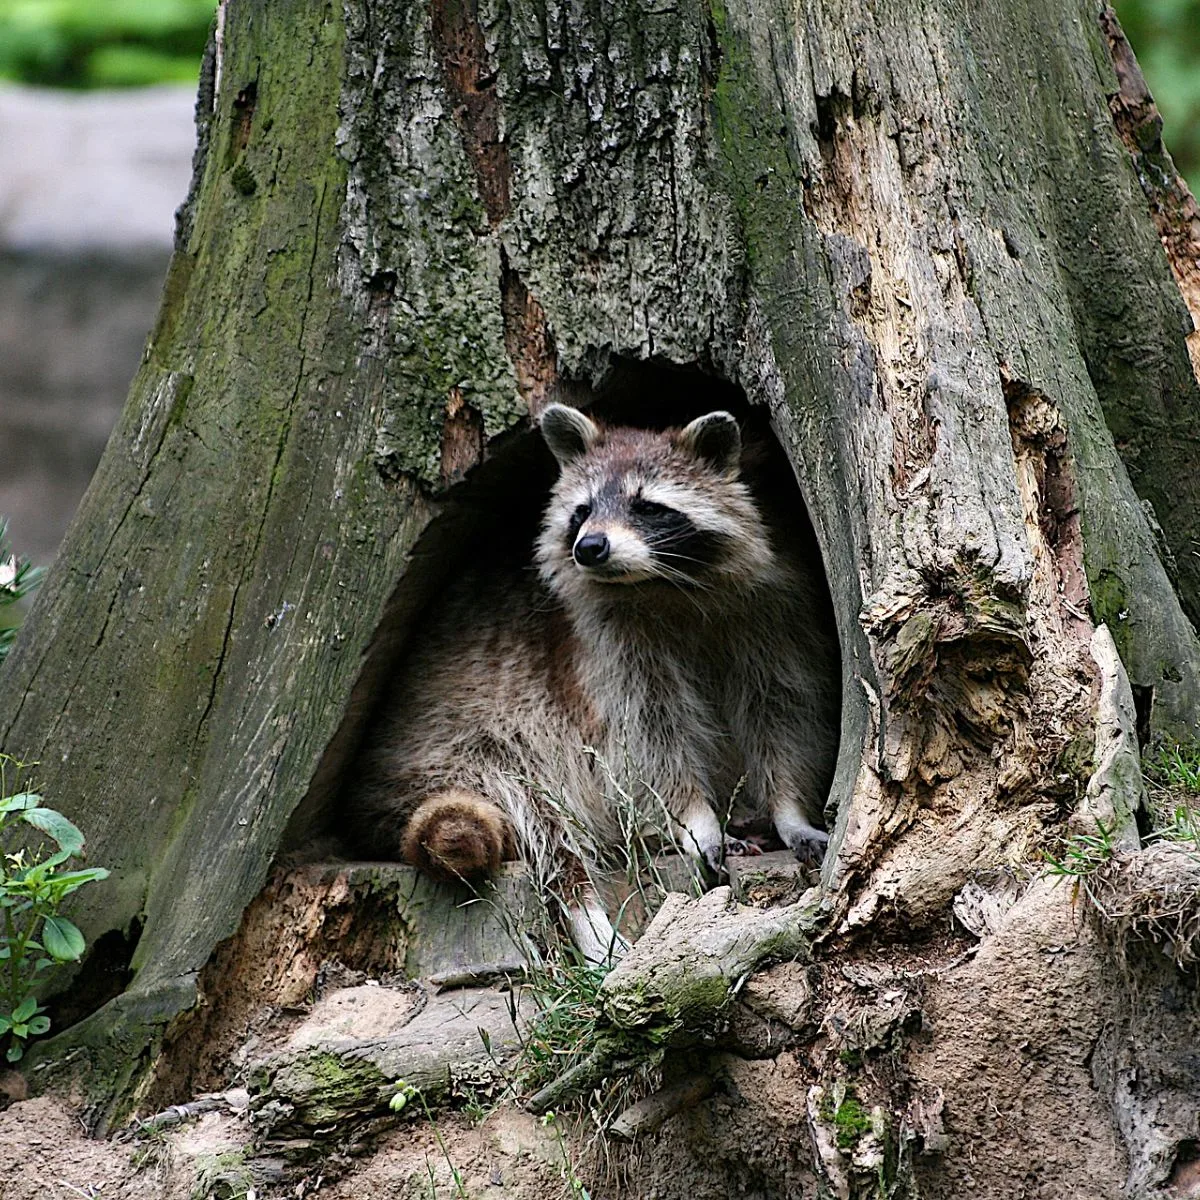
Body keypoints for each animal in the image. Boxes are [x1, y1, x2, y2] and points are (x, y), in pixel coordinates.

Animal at [348, 408, 840, 960]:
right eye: (581, 511)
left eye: (647, 506)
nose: (590, 547)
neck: (666, 584)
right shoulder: (599, 650)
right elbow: (647, 741)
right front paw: (696, 818)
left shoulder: (775, 615)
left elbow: (781, 709)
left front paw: (789, 809)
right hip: (472, 749)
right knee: (546, 824)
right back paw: (592, 919)